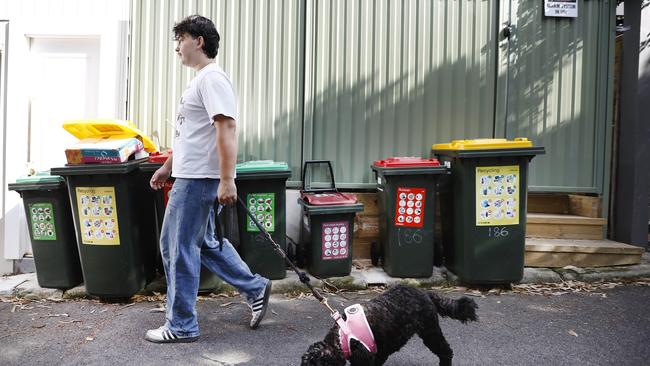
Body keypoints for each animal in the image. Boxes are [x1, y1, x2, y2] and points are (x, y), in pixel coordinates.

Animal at [298, 284, 476, 364]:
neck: (343, 336)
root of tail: (425, 292)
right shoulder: (379, 353)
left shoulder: (366, 357)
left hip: (430, 331)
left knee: (446, 352)